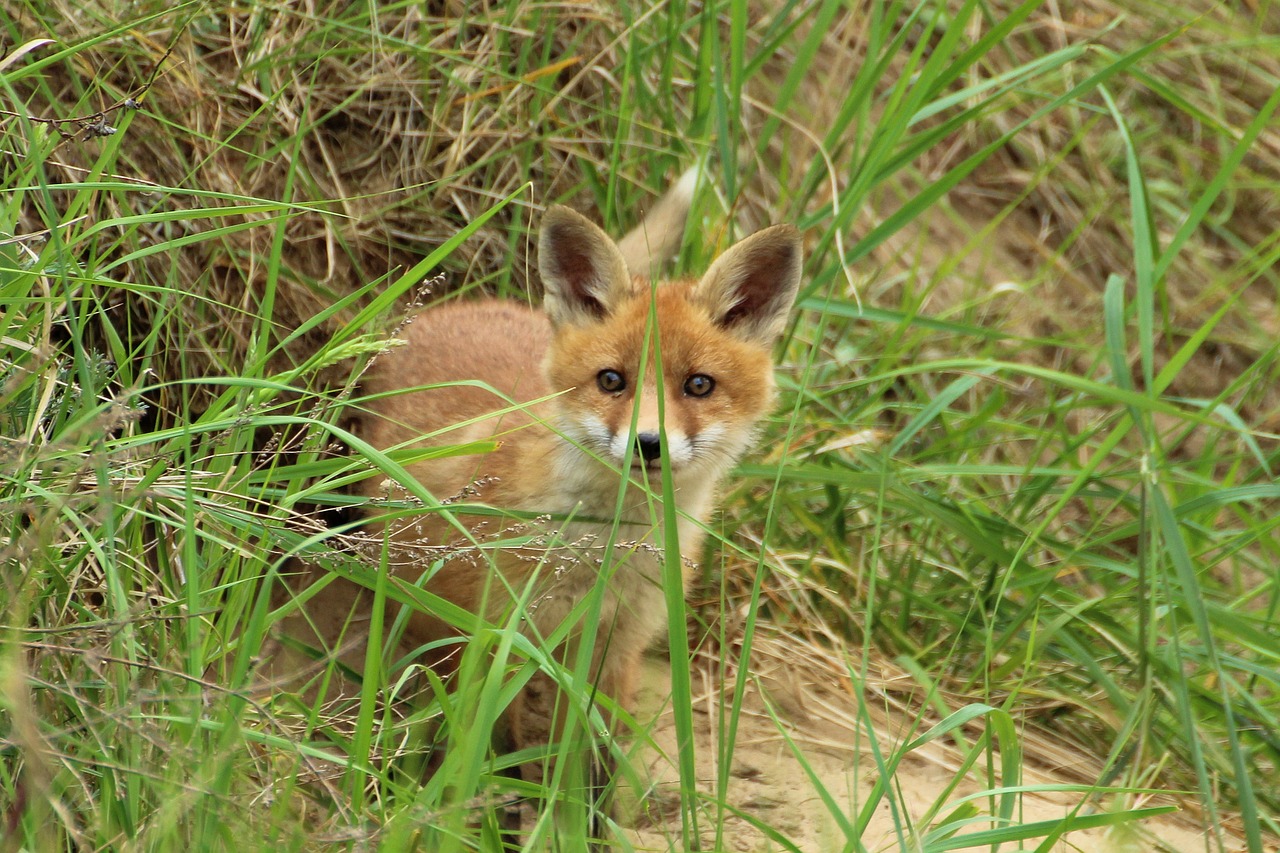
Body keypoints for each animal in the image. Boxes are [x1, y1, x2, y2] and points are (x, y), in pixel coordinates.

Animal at [298, 171, 798, 824]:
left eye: (698, 385)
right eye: (611, 381)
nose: (649, 445)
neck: (601, 555)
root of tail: (461, 307)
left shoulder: (616, 647)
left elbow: (598, 772)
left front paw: (591, 829)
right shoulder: (491, 636)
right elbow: (492, 757)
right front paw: (500, 823)